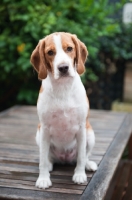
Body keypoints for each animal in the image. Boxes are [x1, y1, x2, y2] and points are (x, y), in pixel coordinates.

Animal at [30, 32, 97, 188]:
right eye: (50, 52)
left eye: (69, 49)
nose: (63, 68)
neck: (63, 87)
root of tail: (65, 159)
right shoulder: (44, 128)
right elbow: (42, 159)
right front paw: (43, 178)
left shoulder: (81, 127)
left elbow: (81, 156)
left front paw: (79, 175)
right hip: (38, 134)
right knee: (48, 157)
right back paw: (50, 164)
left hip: (90, 134)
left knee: (84, 156)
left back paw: (88, 164)